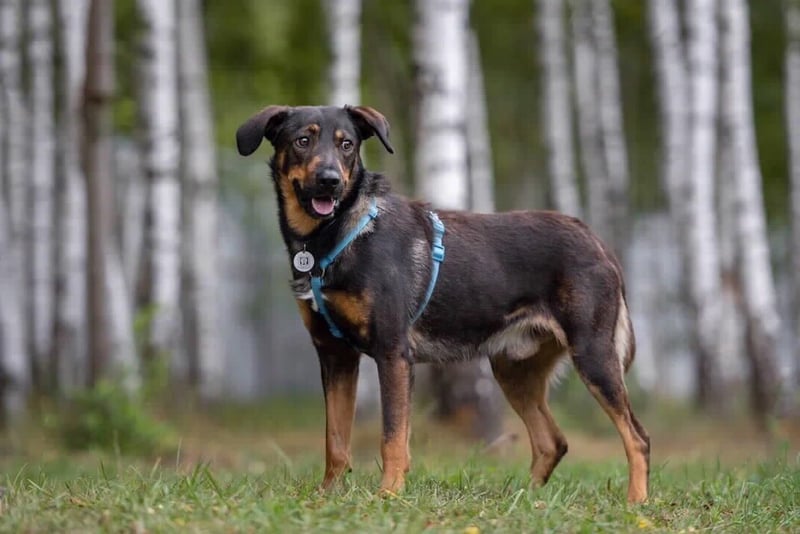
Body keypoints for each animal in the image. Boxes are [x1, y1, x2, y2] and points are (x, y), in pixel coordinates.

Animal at [236, 105, 650, 503]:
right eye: (303, 141)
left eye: (347, 145)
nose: (330, 180)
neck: (334, 235)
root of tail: (596, 241)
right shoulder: (335, 355)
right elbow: (335, 441)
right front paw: (328, 495)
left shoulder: (392, 354)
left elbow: (392, 438)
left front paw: (388, 494)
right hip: (514, 369)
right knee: (553, 441)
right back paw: (526, 499)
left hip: (592, 356)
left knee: (637, 437)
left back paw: (636, 502)